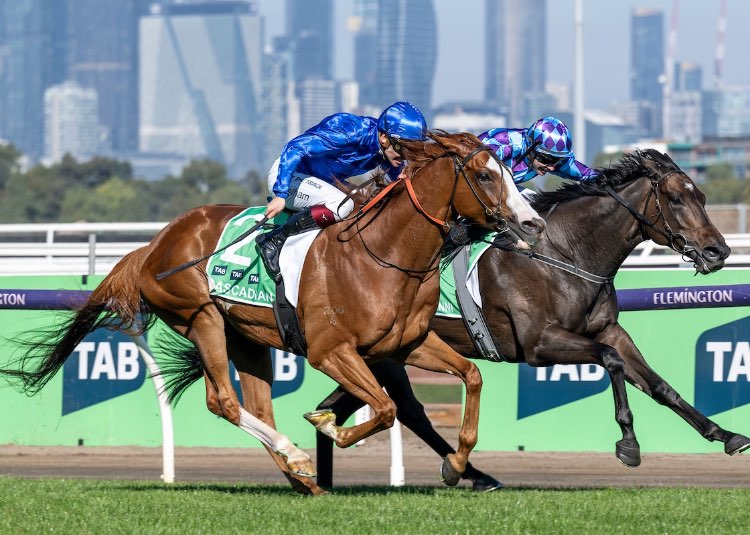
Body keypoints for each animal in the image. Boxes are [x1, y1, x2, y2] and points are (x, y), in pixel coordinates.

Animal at [0, 131, 544, 495]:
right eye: (484, 175)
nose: (533, 224)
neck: (383, 254)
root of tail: (155, 244)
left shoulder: (407, 343)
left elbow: (471, 376)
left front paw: (457, 464)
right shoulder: (331, 350)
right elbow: (387, 408)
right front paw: (328, 426)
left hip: (248, 338)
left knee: (257, 406)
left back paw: (302, 475)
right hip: (202, 317)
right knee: (224, 402)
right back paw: (298, 457)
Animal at [311, 148, 749, 487]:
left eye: (702, 196)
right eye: (675, 199)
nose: (718, 251)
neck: (565, 254)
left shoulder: (609, 329)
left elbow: (659, 385)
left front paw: (725, 434)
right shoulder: (540, 343)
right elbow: (611, 362)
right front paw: (628, 443)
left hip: (382, 353)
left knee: (349, 405)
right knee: (401, 409)